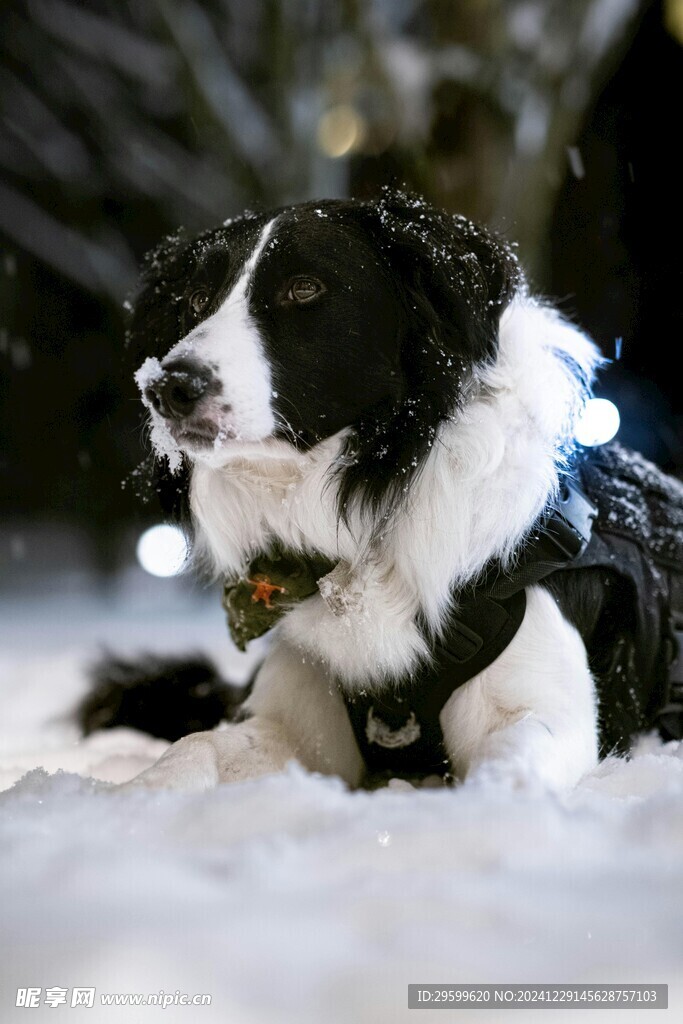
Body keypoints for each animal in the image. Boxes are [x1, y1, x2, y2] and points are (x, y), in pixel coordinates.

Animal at [98, 193, 679, 798]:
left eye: (304, 288)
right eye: (195, 299)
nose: (166, 387)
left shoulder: (545, 714)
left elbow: (504, 772)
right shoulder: (298, 718)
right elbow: (198, 746)